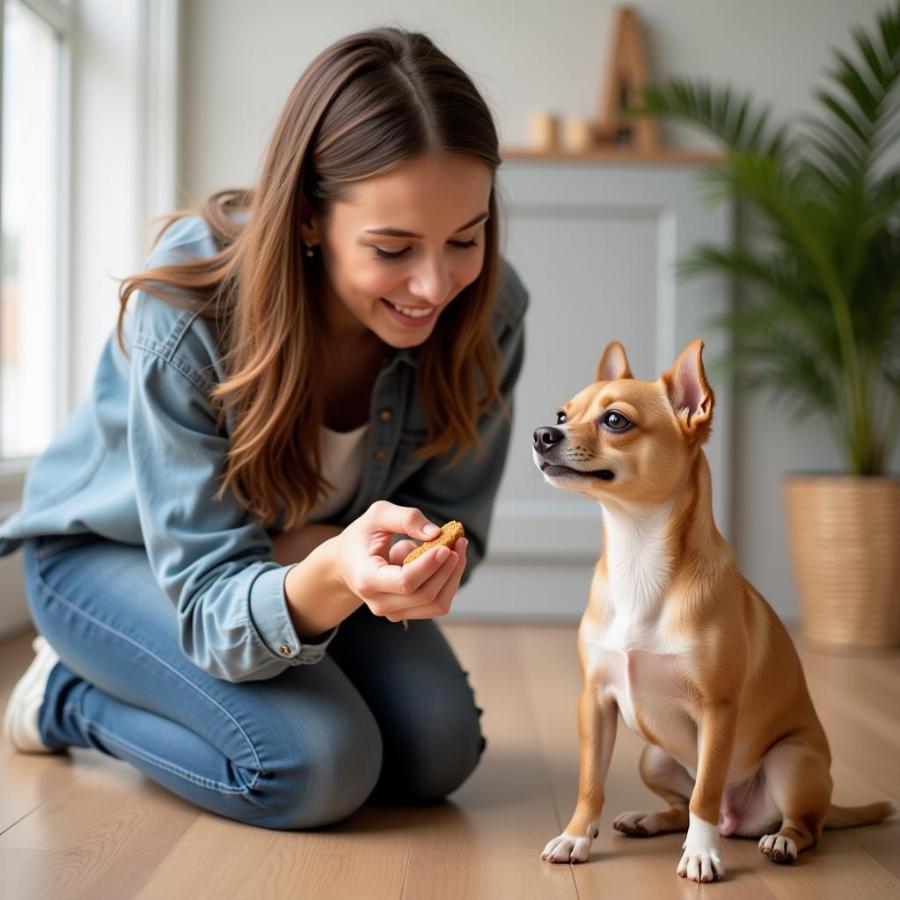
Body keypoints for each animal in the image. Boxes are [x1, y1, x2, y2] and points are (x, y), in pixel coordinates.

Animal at [536, 342, 892, 884]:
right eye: (562, 415)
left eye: (615, 420)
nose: (542, 434)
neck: (636, 554)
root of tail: (737, 818)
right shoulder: (595, 703)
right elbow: (590, 781)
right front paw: (577, 837)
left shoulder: (717, 712)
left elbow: (704, 792)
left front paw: (701, 856)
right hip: (654, 758)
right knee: (679, 807)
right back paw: (647, 819)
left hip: (792, 763)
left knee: (800, 825)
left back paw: (779, 842)